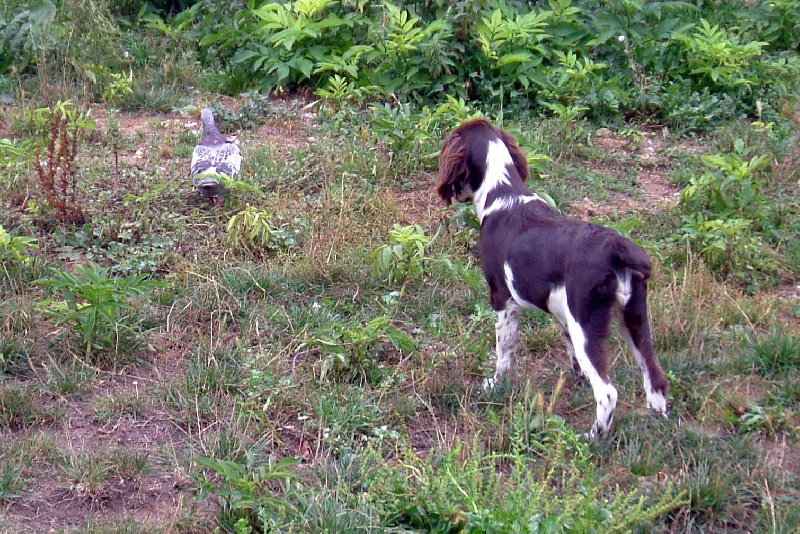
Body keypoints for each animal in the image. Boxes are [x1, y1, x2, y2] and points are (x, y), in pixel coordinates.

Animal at [438, 119, 668, 438]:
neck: (504, 193)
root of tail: (617, 248)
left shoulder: (502, 298)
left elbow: (505, 350)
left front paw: (495, 385)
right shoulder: (562, 313)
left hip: (587, 322)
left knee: (608, 392)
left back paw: (591, 437)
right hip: (634, 315)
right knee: (655, 374)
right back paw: (656, 421)